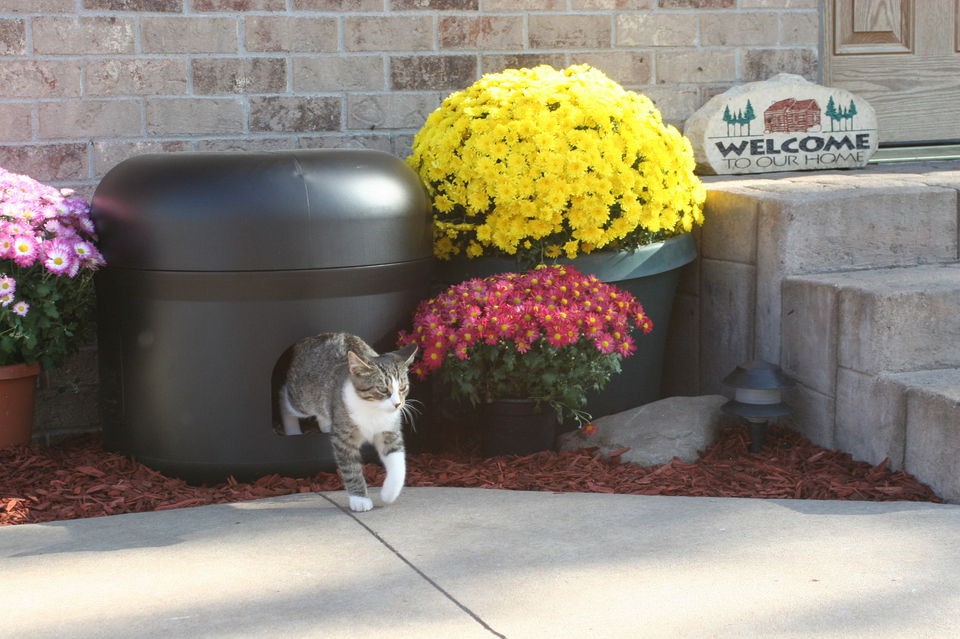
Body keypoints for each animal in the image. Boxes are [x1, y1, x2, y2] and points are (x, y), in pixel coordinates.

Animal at [276, 332, 414, 512]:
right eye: (383, 389)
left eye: (403, 388)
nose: (398, 404)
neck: (373, 409)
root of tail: (314, 338)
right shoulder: (343, 437)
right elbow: (350, 468)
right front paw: (359, 499)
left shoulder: (389, 430)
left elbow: (398, 463)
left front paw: (389, 493)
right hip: (302, 398)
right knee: (285, 397)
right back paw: (292, 429)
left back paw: (325, 423)